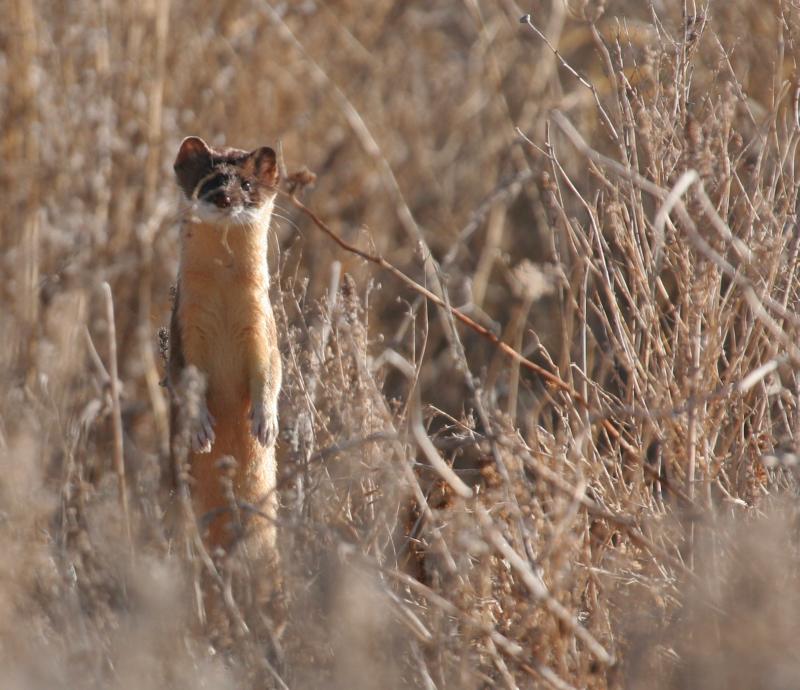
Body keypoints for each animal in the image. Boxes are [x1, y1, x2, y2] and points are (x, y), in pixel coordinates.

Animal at [167, 134, 282, 552]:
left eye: (247, 184)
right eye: (208, 180)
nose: (225, 198)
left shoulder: (262, 325)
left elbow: (272, 372)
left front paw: (265, 422)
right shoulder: (185, 329)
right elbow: (182, 377)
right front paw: (200, 428)